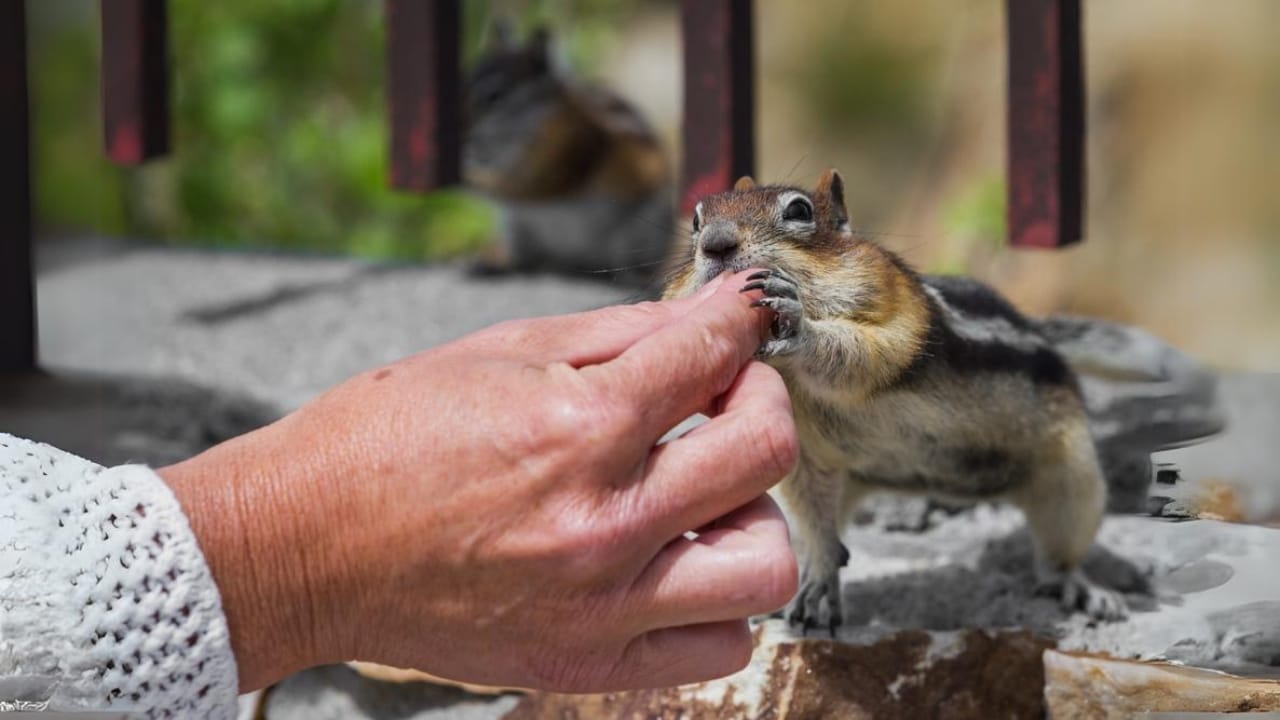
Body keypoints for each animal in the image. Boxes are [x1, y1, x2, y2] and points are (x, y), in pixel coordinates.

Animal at [463, 24, 675, 287]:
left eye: (494, 95)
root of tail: (577, 264)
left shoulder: (569, 154)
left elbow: (533, 185)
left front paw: (473, 179)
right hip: (517, 228)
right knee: (525, 260)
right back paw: (494, 264)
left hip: (641, 233)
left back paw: (637, 277)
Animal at [663, 169, 1223, 632]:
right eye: (697, 218)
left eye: (799, 211)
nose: (714, 244)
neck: (794, 381)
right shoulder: (809, 458)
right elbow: (818, 529)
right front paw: (817, 580)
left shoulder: (900, 318)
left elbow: (862, 352)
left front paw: (797, 316)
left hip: (1073, 478)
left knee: (1055, 557)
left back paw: (1080, 588)